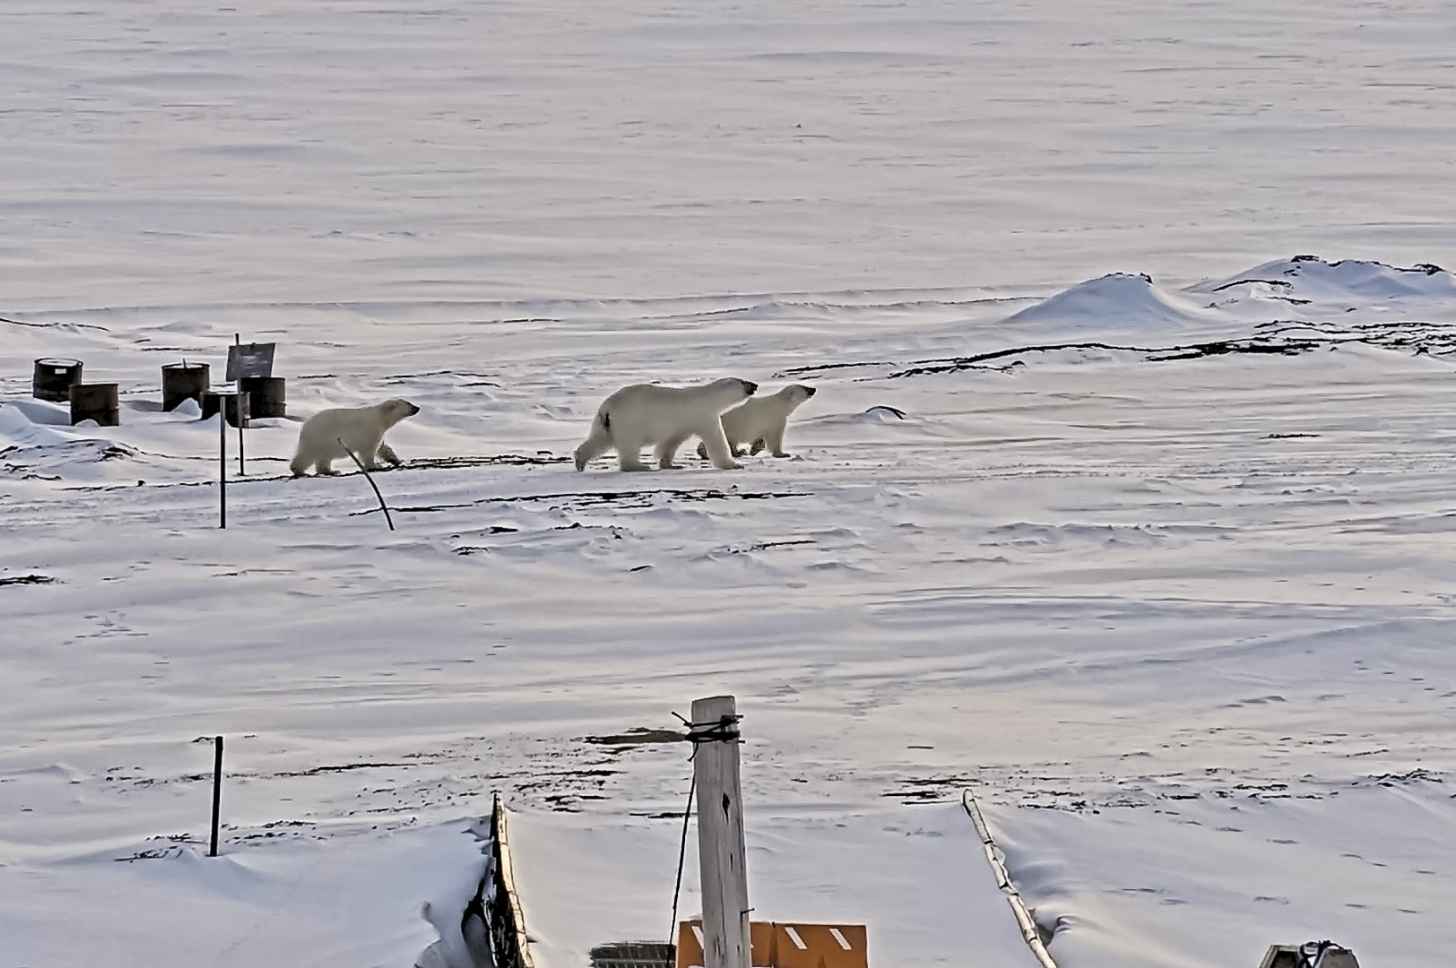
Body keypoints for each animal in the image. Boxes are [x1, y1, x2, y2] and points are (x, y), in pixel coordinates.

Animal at [289, 398, 420, 476]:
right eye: (409, 404)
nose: (417, 407)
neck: (381, 417)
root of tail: (305, 425)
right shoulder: (370, 430)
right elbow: (369, 450)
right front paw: (375, 466)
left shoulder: (379, 432)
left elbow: (382, 447)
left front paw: (396, 460)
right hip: (319, 437)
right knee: (308, 455)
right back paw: (298, 470)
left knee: (323, 458)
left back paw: (331, 471)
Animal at [574, 377, 758, 472]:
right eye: (743, 382)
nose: (755, 385)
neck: (708, 397)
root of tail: (607, 407)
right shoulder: (703, 416)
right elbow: (716, 440)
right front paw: (734, 464)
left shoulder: (683, 424)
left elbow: (671, 442)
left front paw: (670, 464)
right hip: (629, 420)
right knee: (629, 444)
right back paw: (638, 466)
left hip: (606, 423)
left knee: (600, 439)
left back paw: (580, 461)